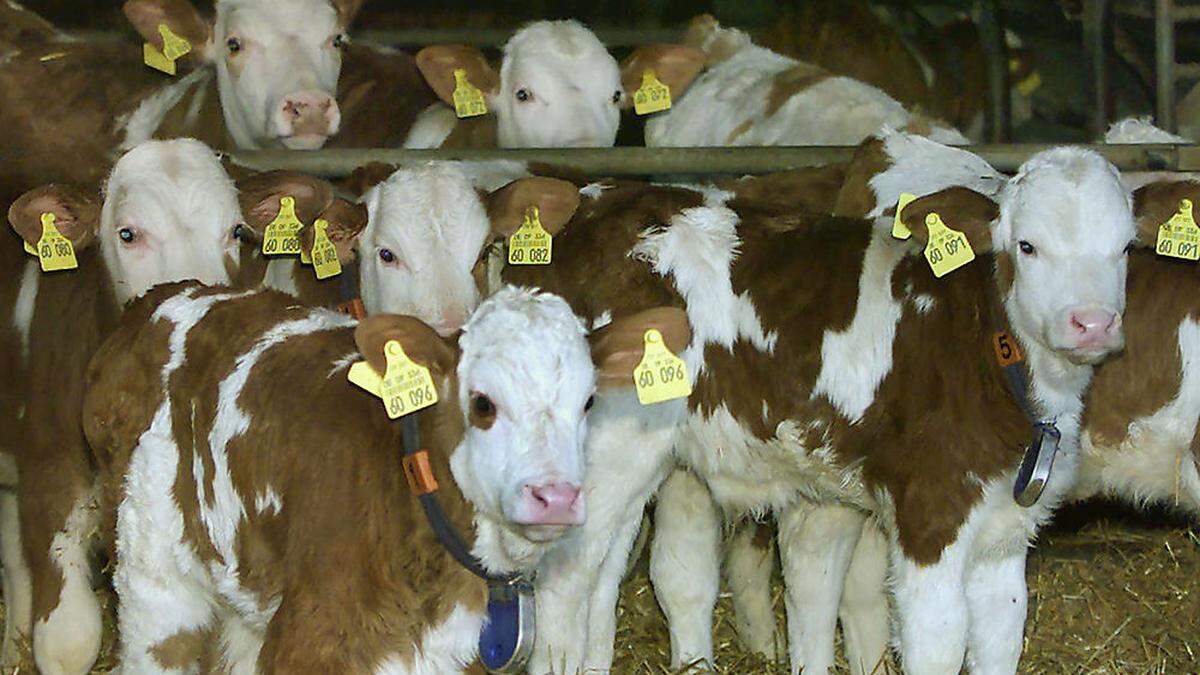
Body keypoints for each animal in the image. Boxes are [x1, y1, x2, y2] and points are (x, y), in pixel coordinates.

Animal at [82, 281, 686, 667]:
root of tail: (161, 297)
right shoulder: (314, 640)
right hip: (153, 582)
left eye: (589, 402)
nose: (554, 497)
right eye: (482, 403)